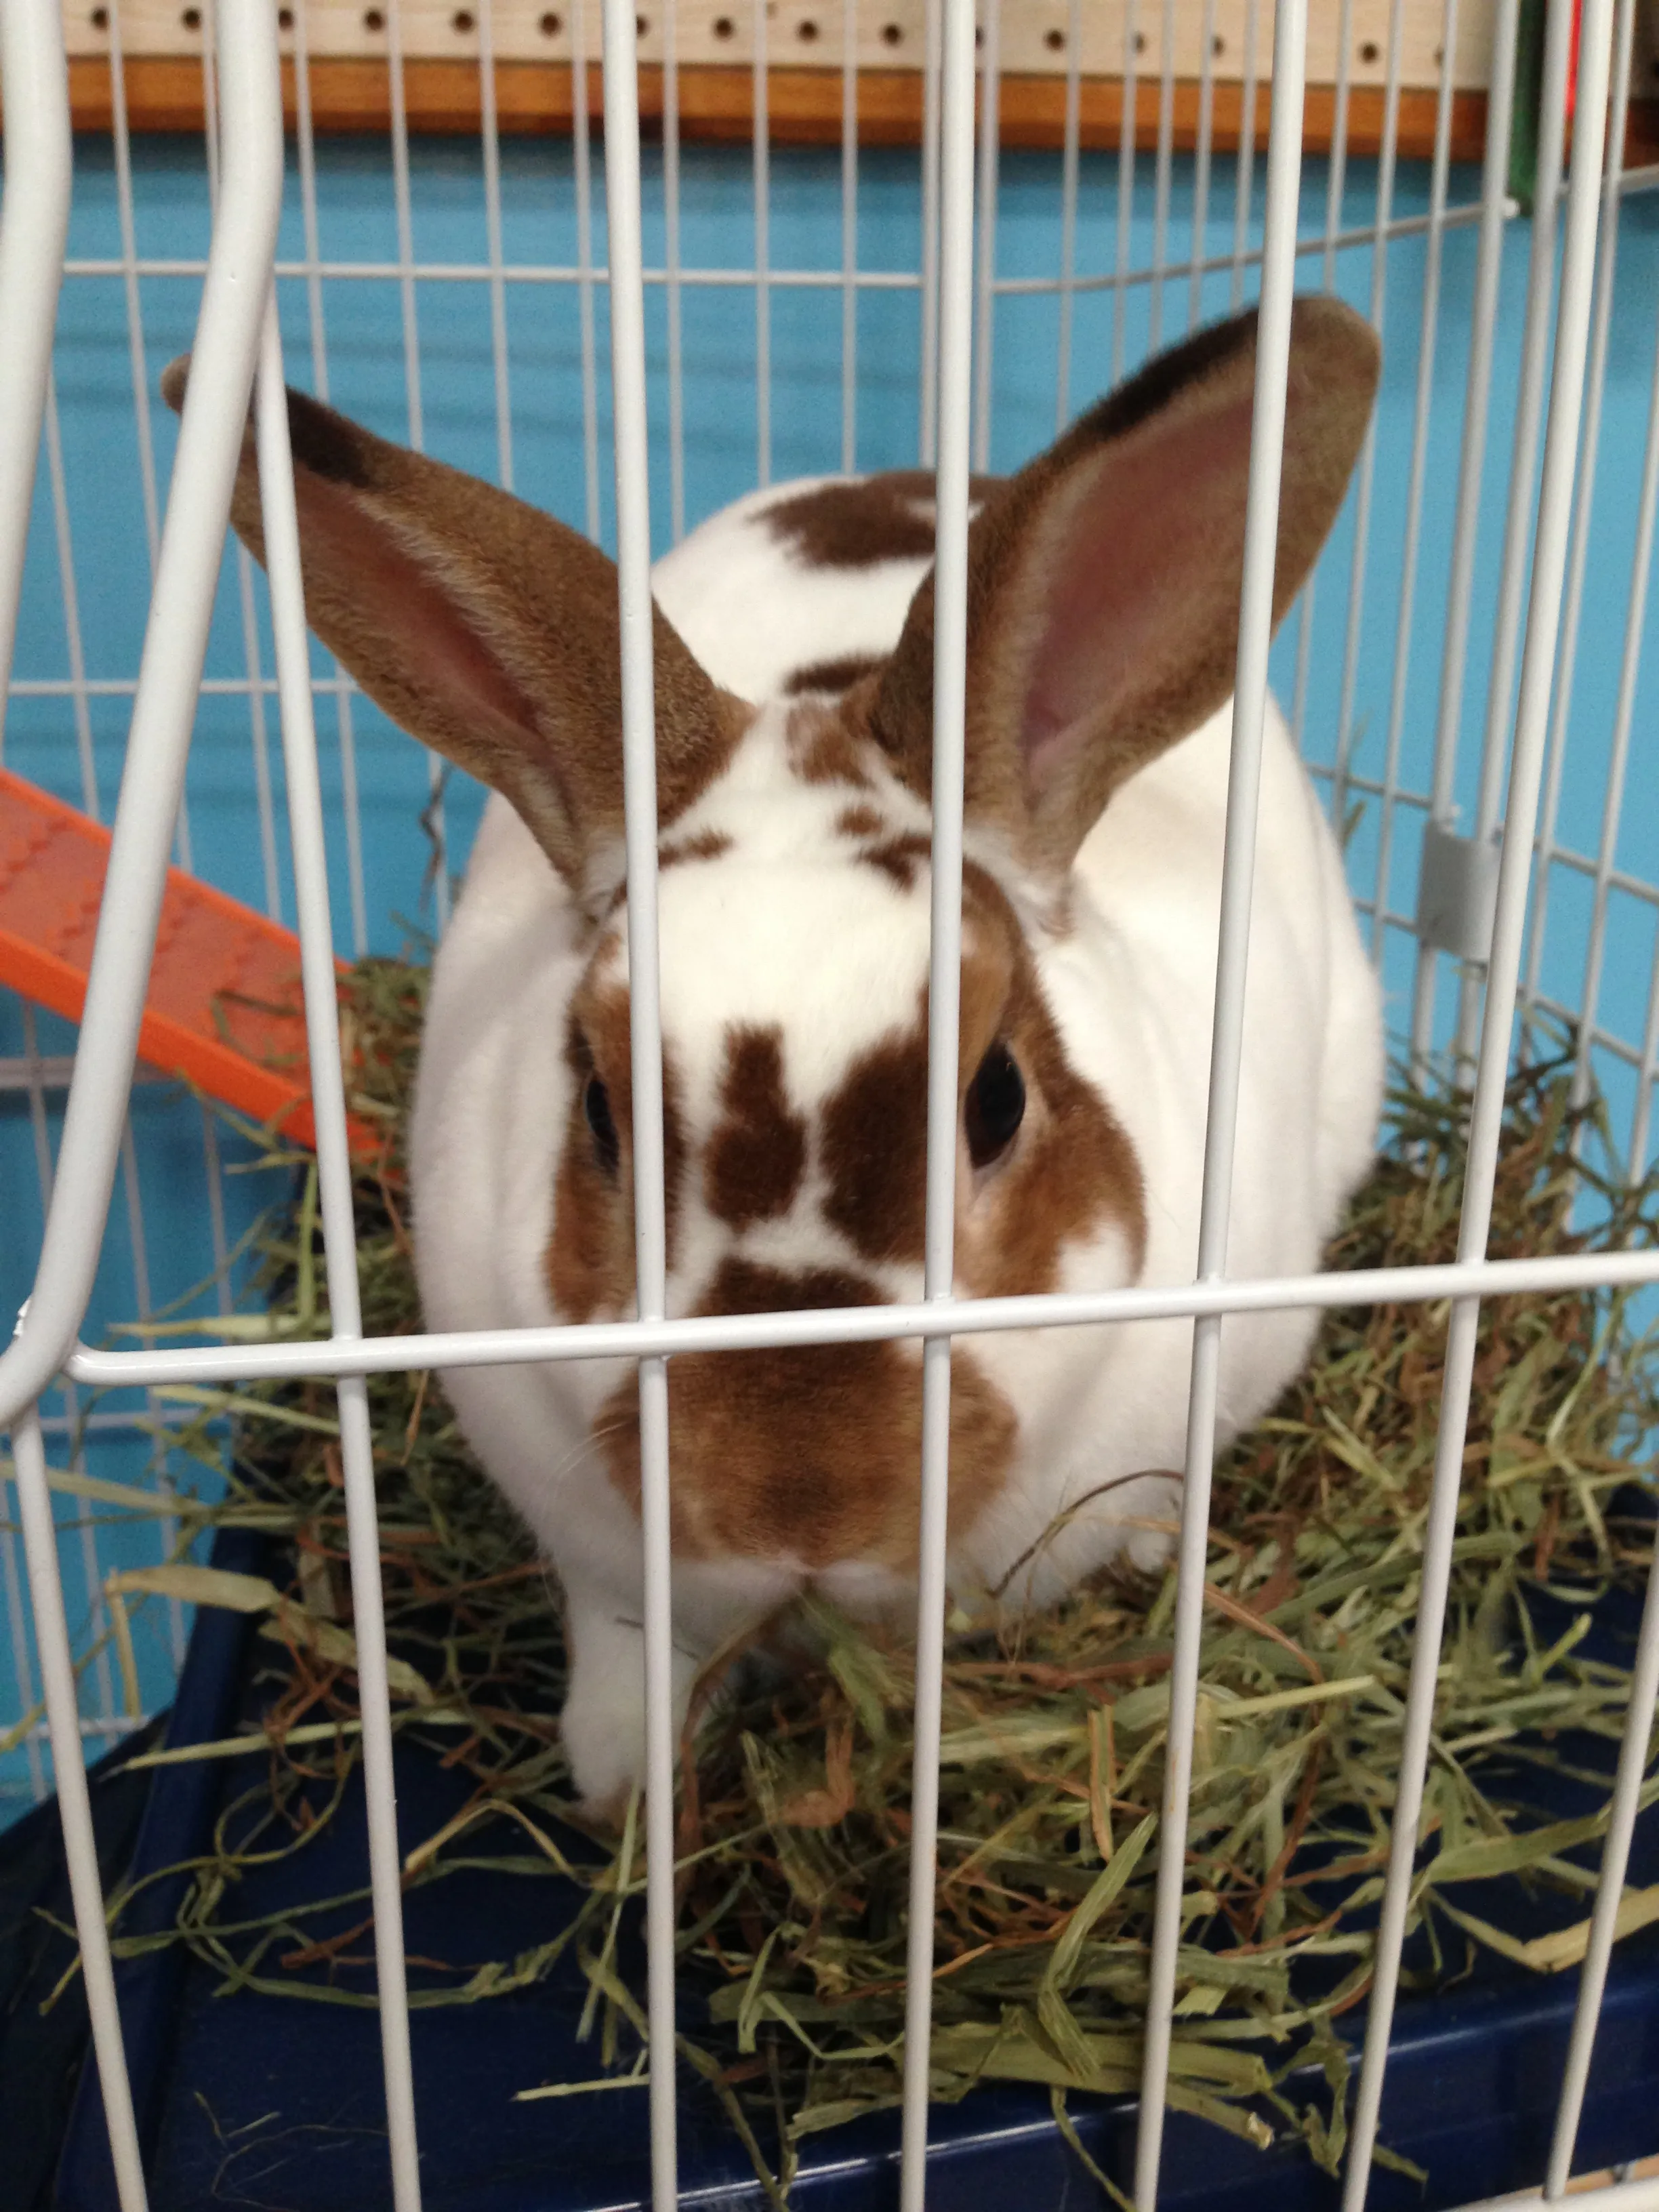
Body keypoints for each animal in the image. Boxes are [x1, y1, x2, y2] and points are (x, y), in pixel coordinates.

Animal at [164, 296, 1384, 1815]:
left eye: (996, 1100)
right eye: (600, 1110)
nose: (800, 1494)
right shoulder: (603, 1558)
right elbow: (628, 1650)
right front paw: (627, 1777)